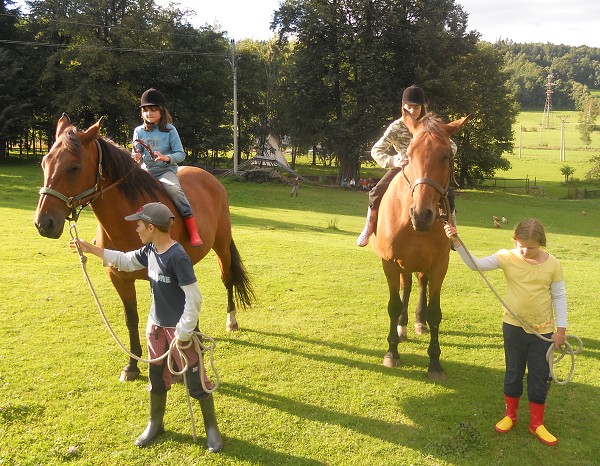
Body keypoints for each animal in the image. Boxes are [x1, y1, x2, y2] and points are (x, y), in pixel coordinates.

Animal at [34, 114, 255, 382]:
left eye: (74, 167)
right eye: (45, 162)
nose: (43, 223)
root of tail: (212, 179)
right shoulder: (119, 277)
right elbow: (132, 318)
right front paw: (132, 365)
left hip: (221, 246)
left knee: (227, 279)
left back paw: (230, 321)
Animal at [370, 111, 468, 380]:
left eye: (446, 155)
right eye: (409, 155)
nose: (422, 215)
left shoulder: (439, 266)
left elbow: (435, 312)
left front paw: (435, 362)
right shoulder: (389, 263)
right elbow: (393, 305)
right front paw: (392, 352)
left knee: (420, 285)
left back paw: (417, 322)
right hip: (403, 265)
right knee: (407, 287)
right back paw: (402, 327)